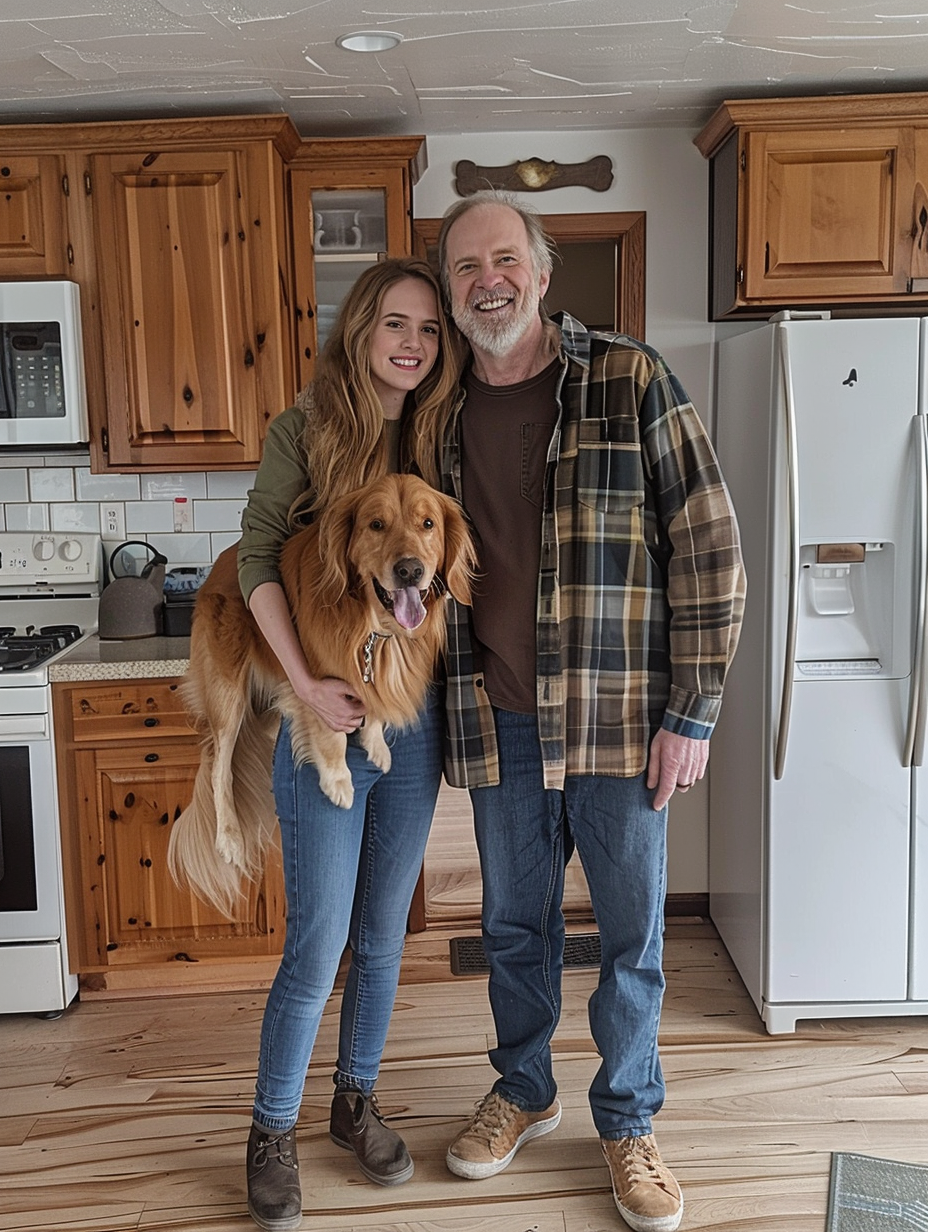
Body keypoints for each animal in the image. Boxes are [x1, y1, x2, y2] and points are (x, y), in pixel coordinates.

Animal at [166, 470, 473, 916]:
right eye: (376, 524)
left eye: (428, 524)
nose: (410, 570)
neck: (373, 626)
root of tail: (221, 561)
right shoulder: (316, 680)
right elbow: (330, 735)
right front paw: (338, 779)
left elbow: (371, 704)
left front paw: (375, 743)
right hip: (227, 691)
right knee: (218, 762)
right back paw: (229, 837)